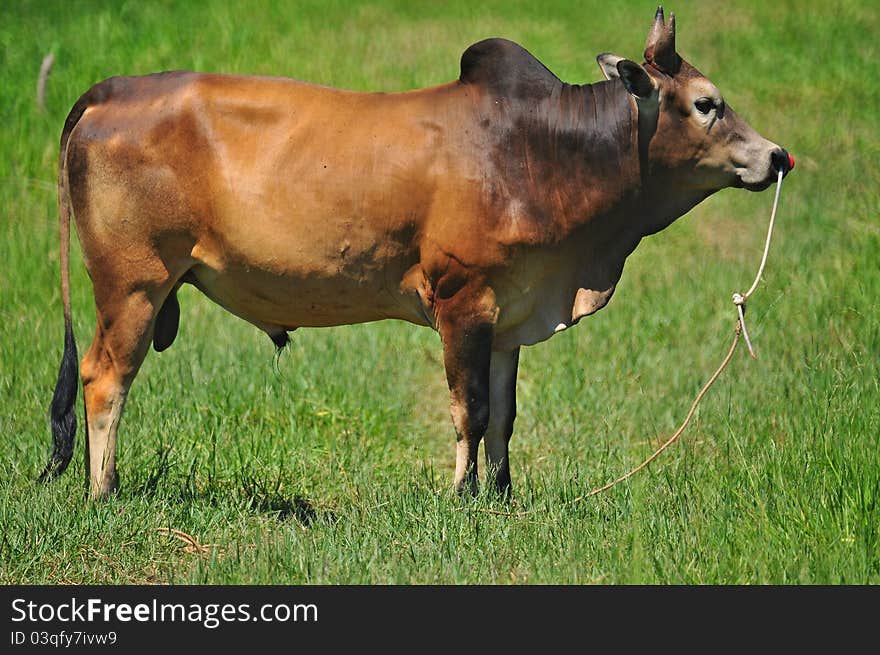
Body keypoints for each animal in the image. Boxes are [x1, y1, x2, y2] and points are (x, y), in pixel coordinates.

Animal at [44, 5, 796, 500]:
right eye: (706, 104)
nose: (777, 156)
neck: (543, 150)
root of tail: (113, 90)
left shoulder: (509, 316)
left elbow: (505, 417)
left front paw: (500, 497)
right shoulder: (463, 300)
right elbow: (472, 410)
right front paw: (462, 500)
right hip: (133, 283)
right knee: (105, 376)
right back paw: (104, 492)